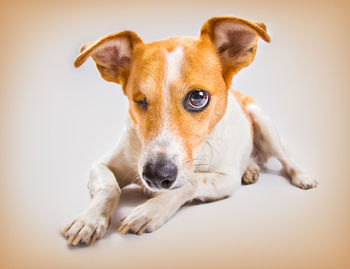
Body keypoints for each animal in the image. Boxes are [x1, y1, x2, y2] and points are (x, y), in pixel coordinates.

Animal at [61, 15, 318, 245]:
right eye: (139, 100)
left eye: (198, 97)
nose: (156, 175)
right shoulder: (102, 165)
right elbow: (109, 187)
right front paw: (90, 220)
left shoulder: (226, 180)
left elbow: (191, 181)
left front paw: (150, 210)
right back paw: (251, 170)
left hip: (263, 120)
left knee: (286, 158)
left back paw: (301, 176)